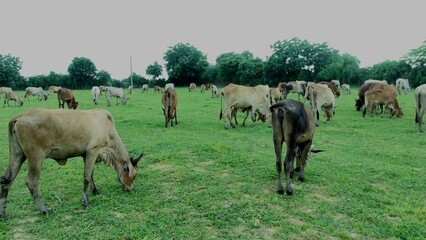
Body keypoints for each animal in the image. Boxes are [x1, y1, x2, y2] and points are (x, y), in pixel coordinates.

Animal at [0, 108, 144, 218]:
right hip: (36, 157)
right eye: (134, 175)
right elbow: (86, 177)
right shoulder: (93, 150)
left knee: (7, 180)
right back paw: (44, 210)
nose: (131, 188)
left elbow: (91, 175)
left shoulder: (86, 154)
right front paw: (85, 201)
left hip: (17, 155)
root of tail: (20, 116)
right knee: (31, 182)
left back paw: (3, 213)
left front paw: (95, 190)